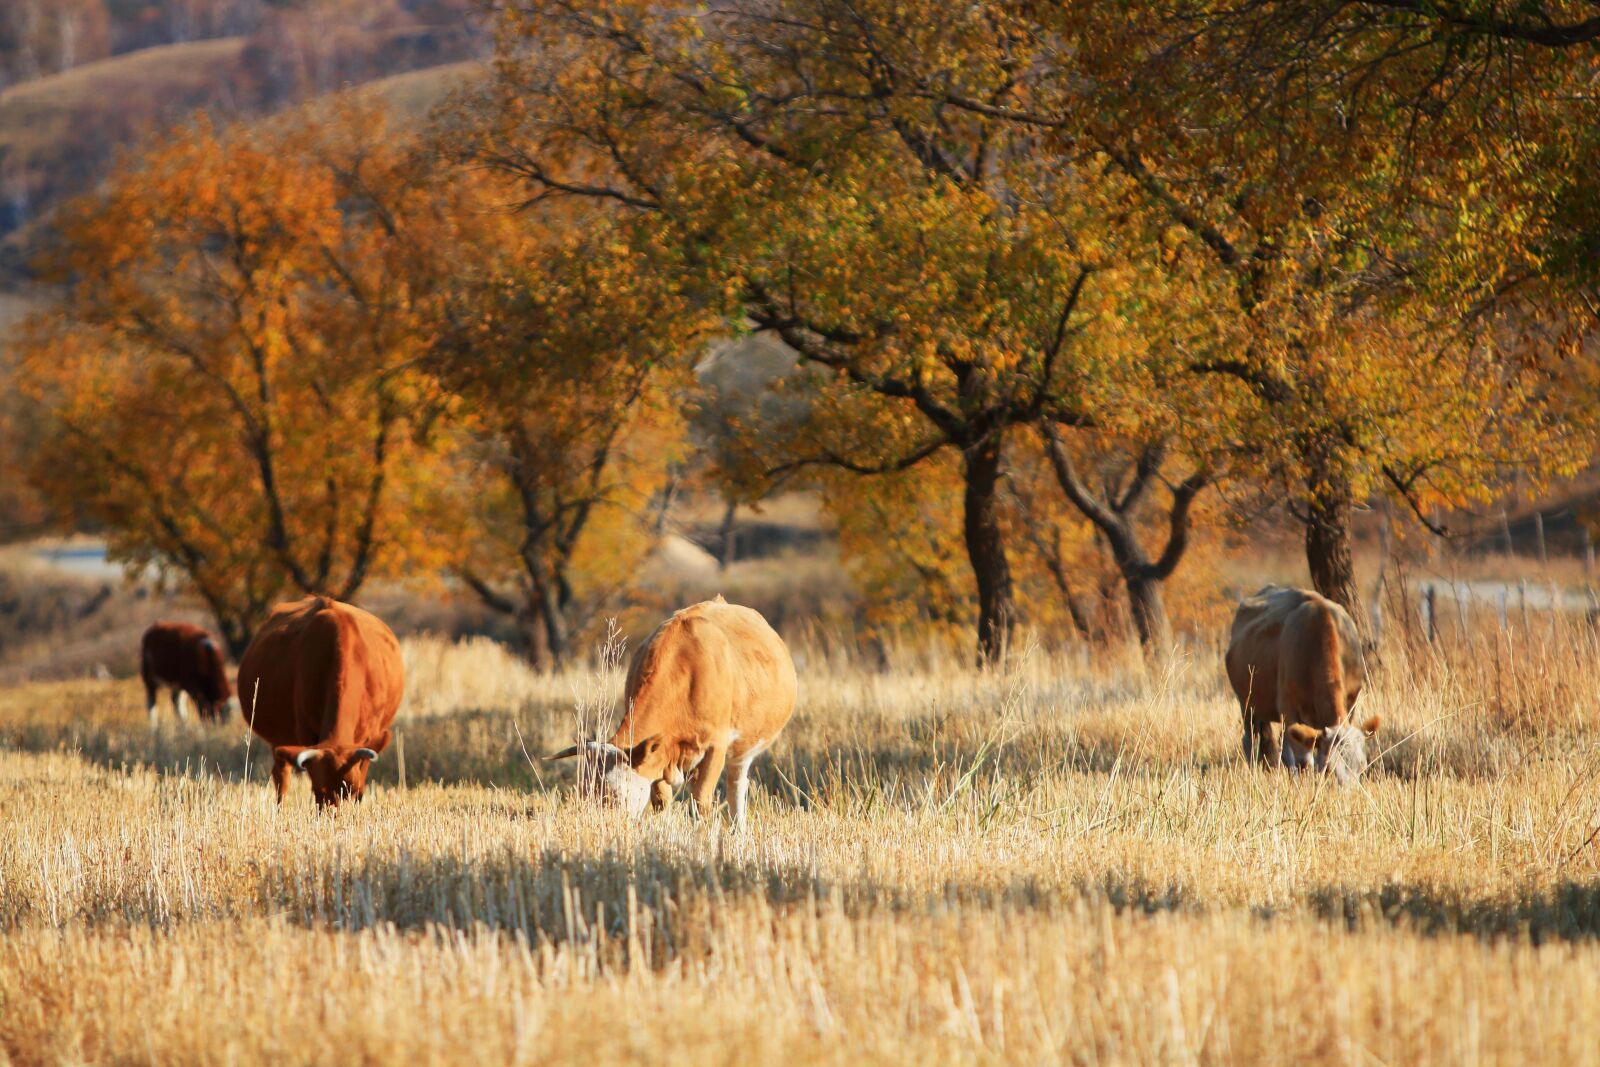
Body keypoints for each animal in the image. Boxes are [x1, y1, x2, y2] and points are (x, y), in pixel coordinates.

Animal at [235, 591, 403, 809]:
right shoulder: (305, 732)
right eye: (319, 792)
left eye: (352, 790)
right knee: (281, 775)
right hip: (278, 741)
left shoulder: (371, 737)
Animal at [550, 598, 800, 831]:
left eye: (618, 794)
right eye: (584, 792)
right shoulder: (659, 755)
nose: (600, 825)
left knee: (737, 785)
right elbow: (661, 801)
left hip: (742, 749)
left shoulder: (716, 746)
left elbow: (701, 801)